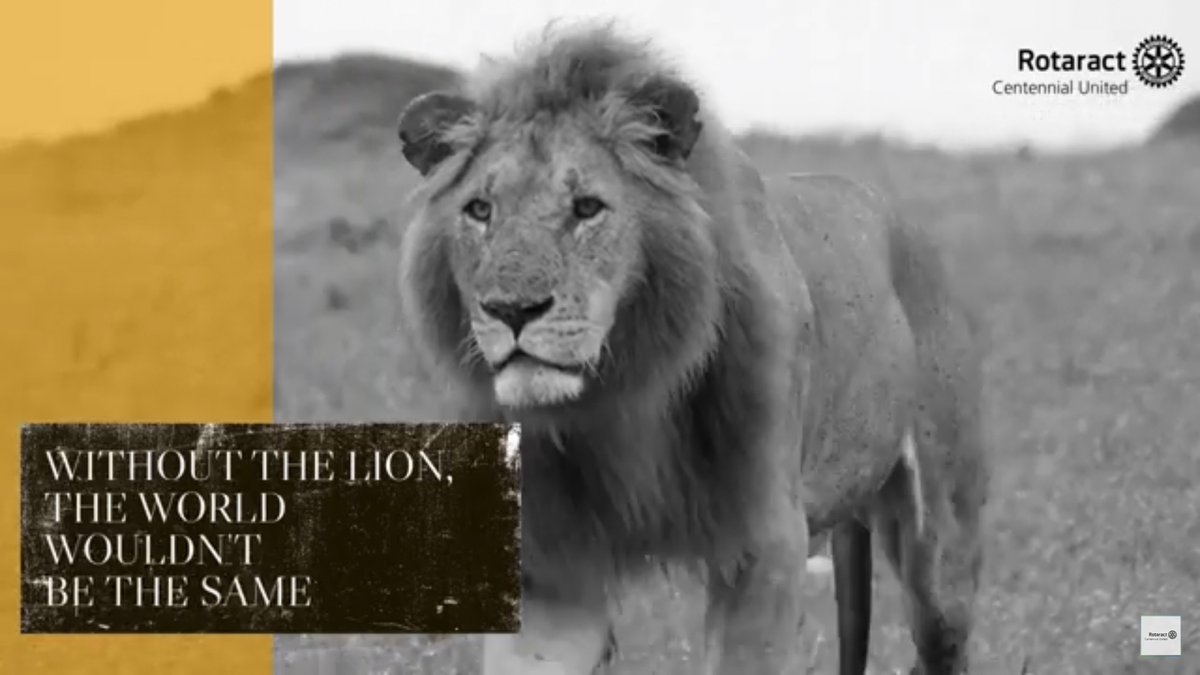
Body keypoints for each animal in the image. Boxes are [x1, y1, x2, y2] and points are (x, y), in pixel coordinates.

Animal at [394, 23, 988, 675]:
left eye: (586, 208)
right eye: (480, 210)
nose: (512, 310)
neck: (624, 394)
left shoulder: (763, 543)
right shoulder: (551, 564)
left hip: (942, 547)